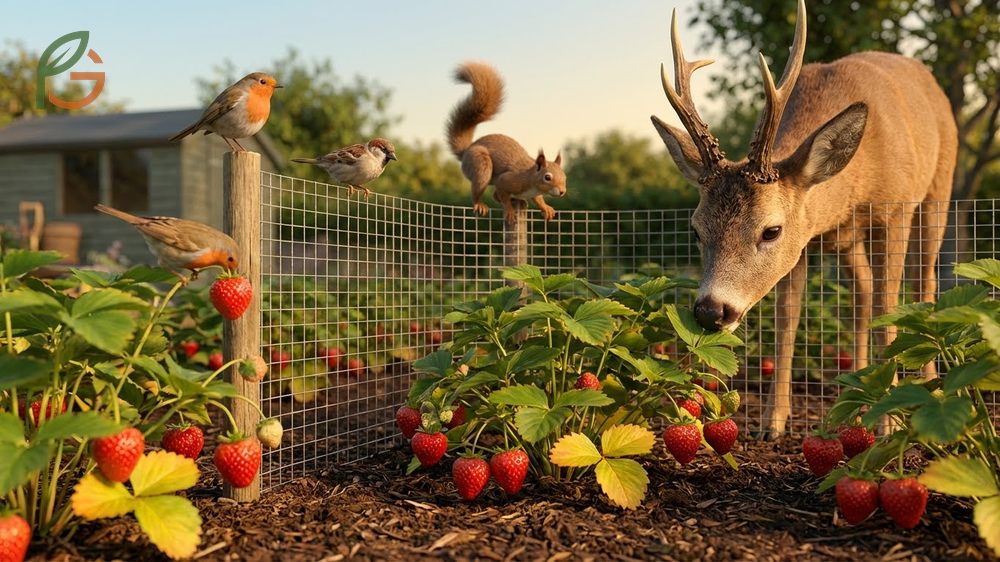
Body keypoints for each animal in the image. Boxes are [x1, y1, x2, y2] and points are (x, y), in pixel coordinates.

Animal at [650, 0, 957, 438]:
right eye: (695, 228)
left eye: (771, 230)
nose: (711, 312)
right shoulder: (805, 240)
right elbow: (787, 317)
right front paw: (772, 423)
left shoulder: (893, 210)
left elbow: (889, 308)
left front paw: (890, 423)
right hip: (848, 239)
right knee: (861, 291)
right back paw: (857, 391)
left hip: (938, 189)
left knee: (923, 282)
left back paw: (927, 386)